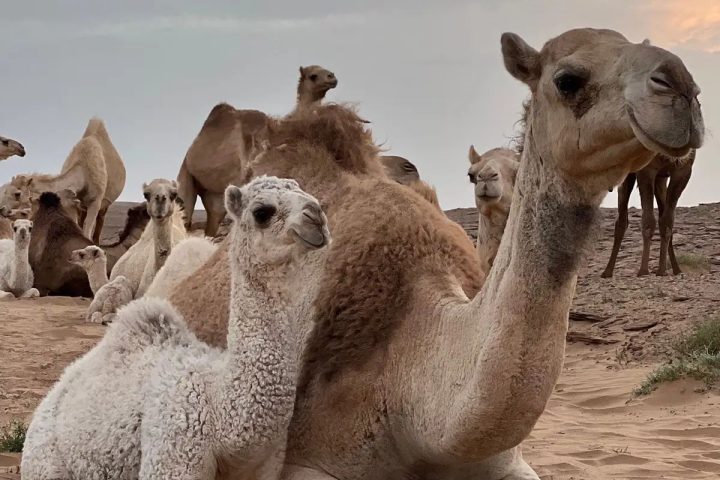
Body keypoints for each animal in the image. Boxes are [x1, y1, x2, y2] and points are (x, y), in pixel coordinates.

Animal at [22, 176, 331, 479]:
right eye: (262, 212)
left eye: (311, 195)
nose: (317, 218)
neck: (219, 409)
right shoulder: (175, 442)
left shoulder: (265, 468)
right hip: (43, 461)